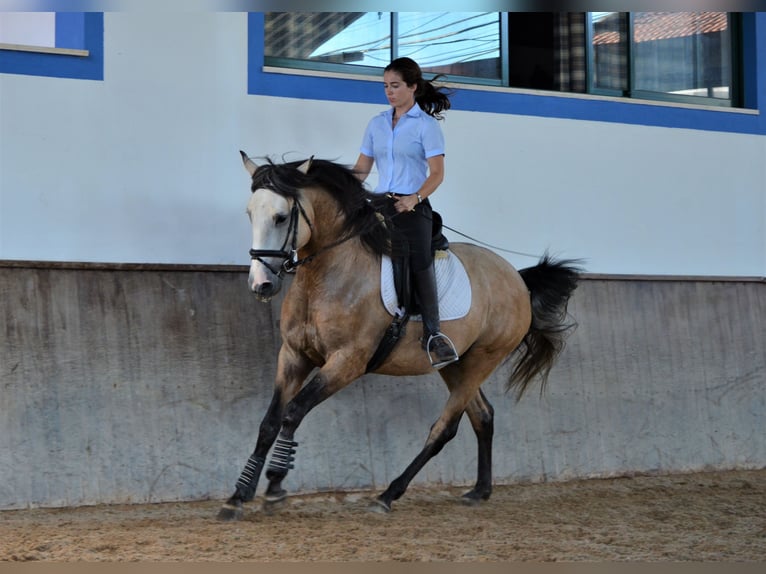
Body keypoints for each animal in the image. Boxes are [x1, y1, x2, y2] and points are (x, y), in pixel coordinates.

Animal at [216, 152, 584, 520]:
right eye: (250, 214)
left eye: (280, 217)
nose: (261, 285)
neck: (326, 275)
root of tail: (517, 279)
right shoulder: (293, 355)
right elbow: (270, 422)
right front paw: (238, 495)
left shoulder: (347, 362)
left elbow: (294, 411)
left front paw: (276, 484)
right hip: (457, 364)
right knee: (483, 416)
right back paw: (480, 490)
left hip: (483, 359)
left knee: (444, 428)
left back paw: (388, 495)